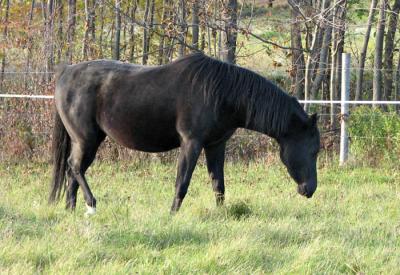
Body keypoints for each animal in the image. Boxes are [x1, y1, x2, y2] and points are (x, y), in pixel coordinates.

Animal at [49, 53, 318, 216]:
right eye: (312, 150)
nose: (310, 190)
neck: (222, 93)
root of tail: (66, 72)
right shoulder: (191, 143)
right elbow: (182, 182)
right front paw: (172, 214)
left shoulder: (216, 145)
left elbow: (218, 183)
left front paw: (221, 214)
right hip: (87, 140)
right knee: (75, 167)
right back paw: (92, 204)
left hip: (86, 140)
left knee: (73, 171)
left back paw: (72, 209)